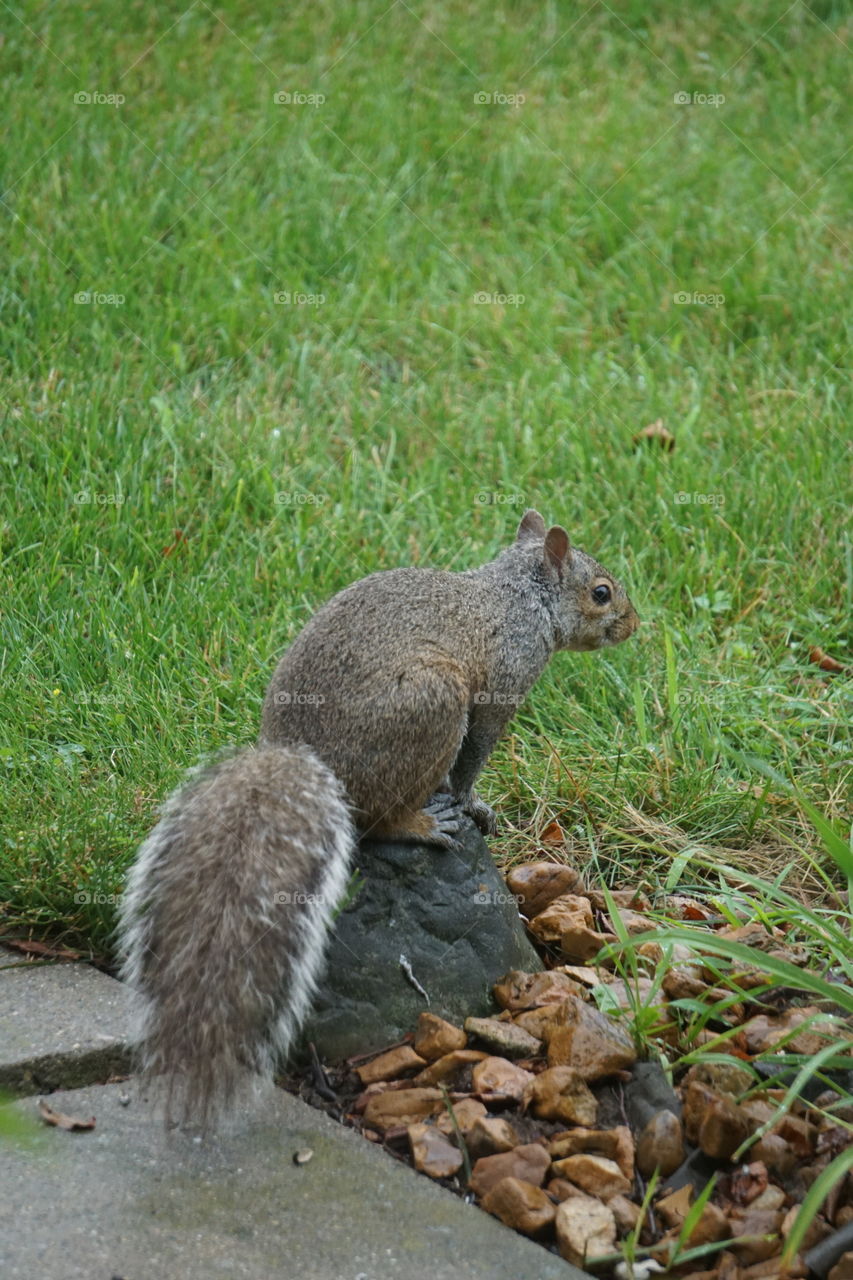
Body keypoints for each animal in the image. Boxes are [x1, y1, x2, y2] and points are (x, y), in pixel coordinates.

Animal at [119, 509, 639, 1128]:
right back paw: (425, 824)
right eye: (601, 592)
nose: (635, 625)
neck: (518, 596)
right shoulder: (501, 684)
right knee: (379, 821)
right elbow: (472, 760)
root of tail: (309, 758)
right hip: (434, 698)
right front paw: (469, 804)